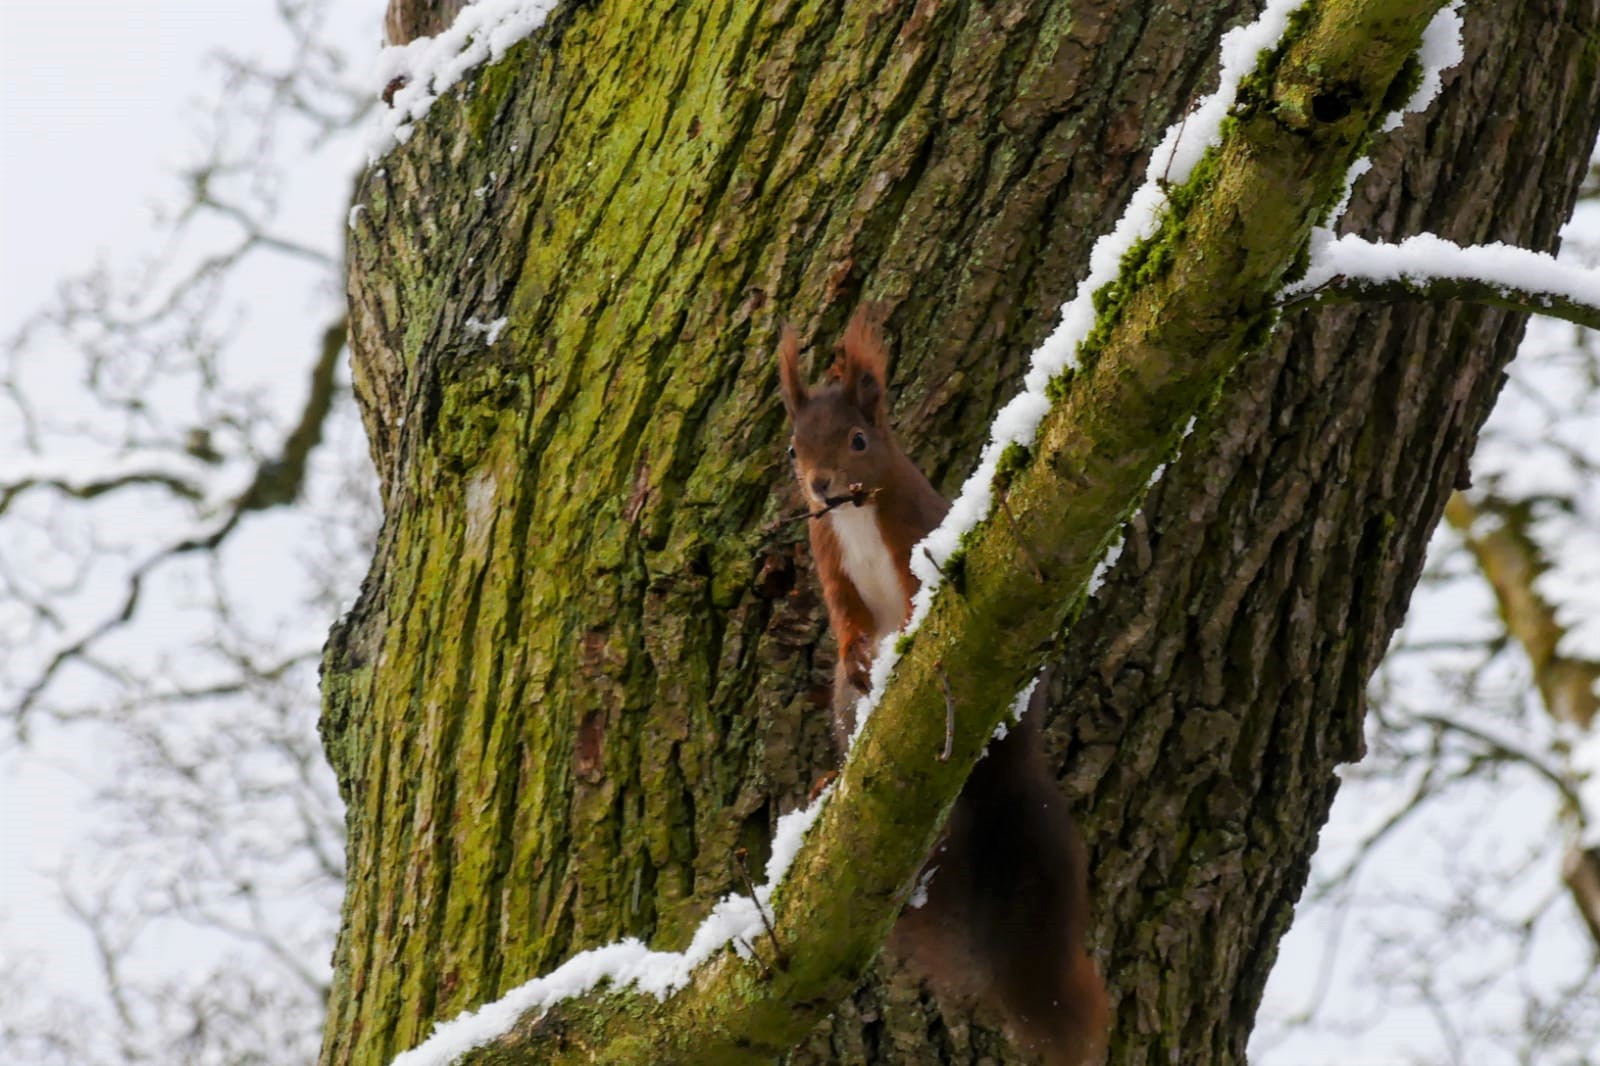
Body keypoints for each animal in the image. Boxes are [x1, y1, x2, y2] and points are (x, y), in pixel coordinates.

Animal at [778, 307, 1109, 1066]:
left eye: (858, 440)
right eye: (794, 448)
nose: (819, 486)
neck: (854, 513)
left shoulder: (912, 535)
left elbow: (914, 595)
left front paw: (903, 636)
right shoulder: (829, 558)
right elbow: (845, 618)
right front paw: (857, 654)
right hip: (845, 710)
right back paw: (832, 775)